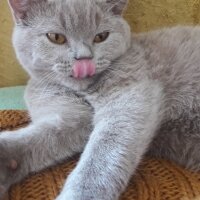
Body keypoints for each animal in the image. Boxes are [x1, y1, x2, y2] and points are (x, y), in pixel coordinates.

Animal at [1, 0, 200, 199]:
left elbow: (101, 155)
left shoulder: (130, 95)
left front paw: (79, 194)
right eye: (56, 37)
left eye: (101, 37)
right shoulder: (72, 116)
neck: (83, 92)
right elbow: (47, 135)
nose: (84, 59)